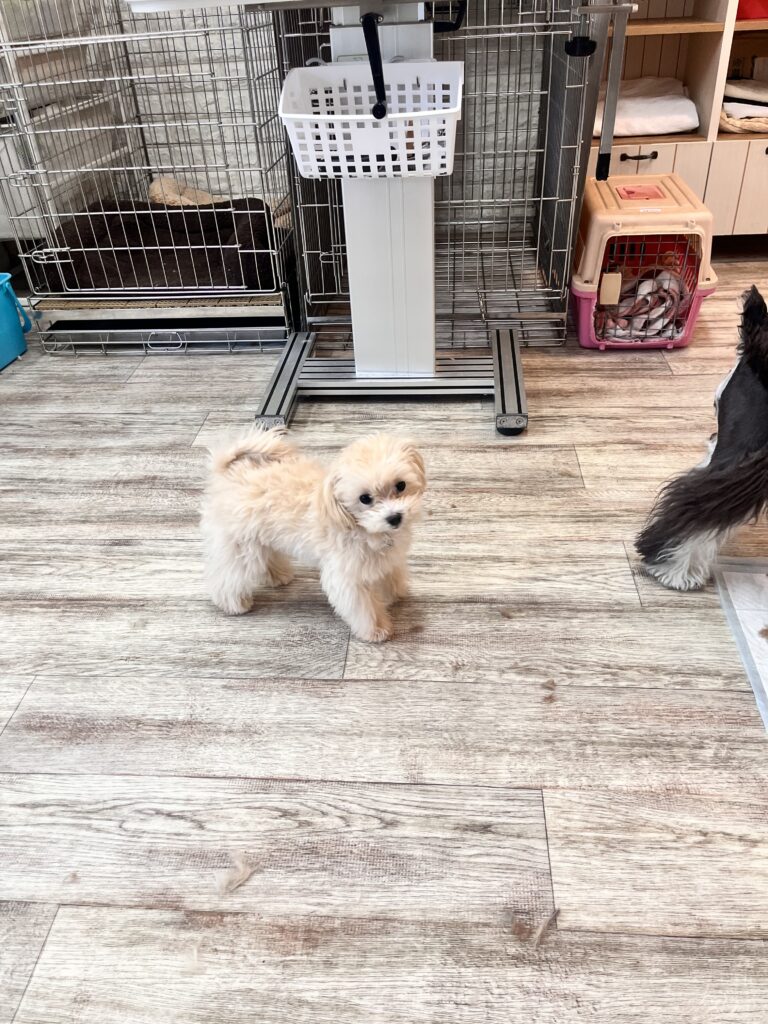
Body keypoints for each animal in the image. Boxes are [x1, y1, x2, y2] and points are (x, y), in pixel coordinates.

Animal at [201, 428, 426, 642]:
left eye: (401, 485)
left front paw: (395, 594)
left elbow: (391, 576)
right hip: (242, 546)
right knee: (228, 576)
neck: (358, 525)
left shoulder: (388, 559)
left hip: (261, 539)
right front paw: (377, 630)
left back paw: (277, 576)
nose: (395, 517)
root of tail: (228, 473)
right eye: (364, 498)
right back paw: (233, 603)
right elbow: (365, 608)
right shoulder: (346, 578)